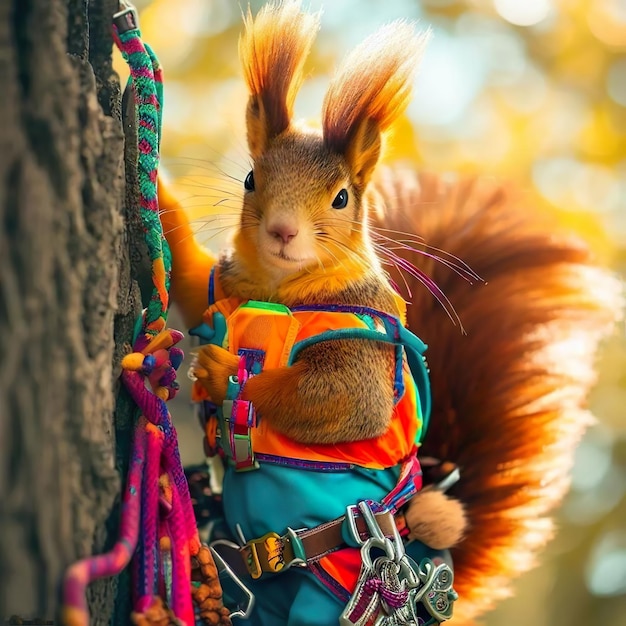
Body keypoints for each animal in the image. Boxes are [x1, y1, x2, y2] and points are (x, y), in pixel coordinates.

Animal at [157, 1, 620, 624]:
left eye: (342, 198)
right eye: (252, 178)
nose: (281, 231)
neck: (279, 288)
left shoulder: (362, 341)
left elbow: (343, 401)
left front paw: (224, 370)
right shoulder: (222, 286)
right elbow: (189, 272)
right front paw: (158, 189)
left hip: (332, 596)